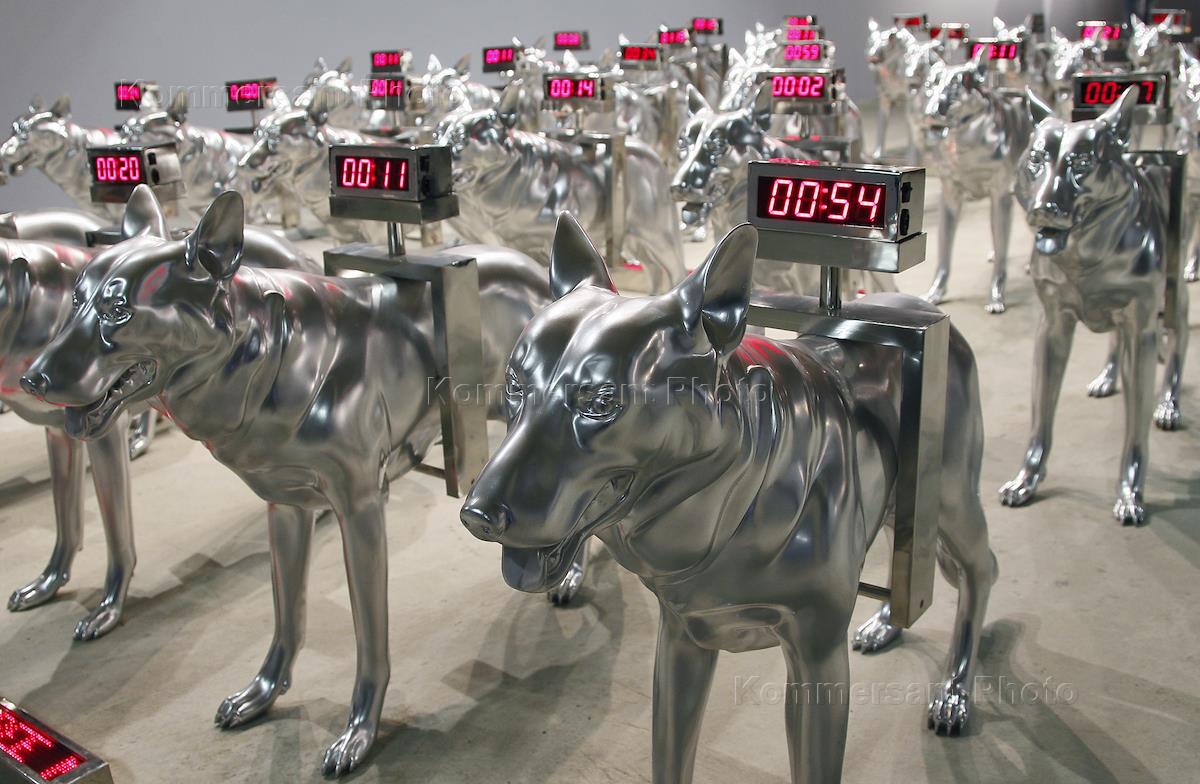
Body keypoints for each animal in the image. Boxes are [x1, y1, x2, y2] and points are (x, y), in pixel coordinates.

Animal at [21, 187, 549, 776]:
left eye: (118, 310)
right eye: (75, 301)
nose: (32, 378)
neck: (270, 356)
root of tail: (535, 267)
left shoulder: (361, 510)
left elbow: (370, 640)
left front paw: (358, 735)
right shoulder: (286, 506)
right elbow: (285, 617)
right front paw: (263, 694)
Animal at [460, 213, 996, 782]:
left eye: (600, 402)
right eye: (514, 385)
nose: (477, 516)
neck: (737, 495)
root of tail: (925, 310)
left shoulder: (818, 660)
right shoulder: (681, 640)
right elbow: (671, 755)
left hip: (951, 502)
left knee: (983, 568)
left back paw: (955, 693)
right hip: (902, 506)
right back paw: (886, 624)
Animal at [1000, 87, 1189, 525]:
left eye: (1083, 163)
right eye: (1037, 158)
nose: (1043, 209)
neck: (1085, 260)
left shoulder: (1142, 329)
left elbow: (1135, 433)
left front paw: (1130, 494)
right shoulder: (1052, 326)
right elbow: (1040, 420)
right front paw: (1026, 480)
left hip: (1175, 294)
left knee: (1180, 335)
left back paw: (1168, 403)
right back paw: (1107, 376)